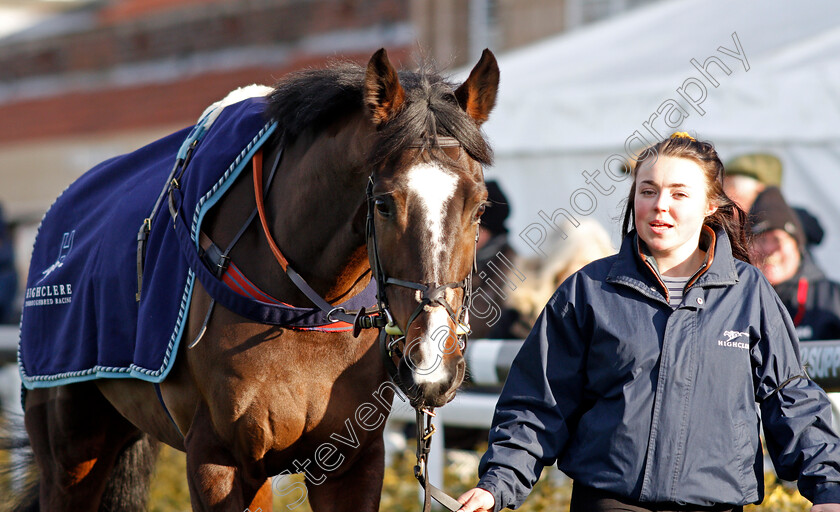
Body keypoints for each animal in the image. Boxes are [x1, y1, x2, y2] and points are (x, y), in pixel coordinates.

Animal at [9, 49, 498, 512]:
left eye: (480, 206)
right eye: (383, 203)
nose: (432, 363)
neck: (300, 306)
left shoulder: (352, 462)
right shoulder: (219, 458)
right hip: (70, 450)